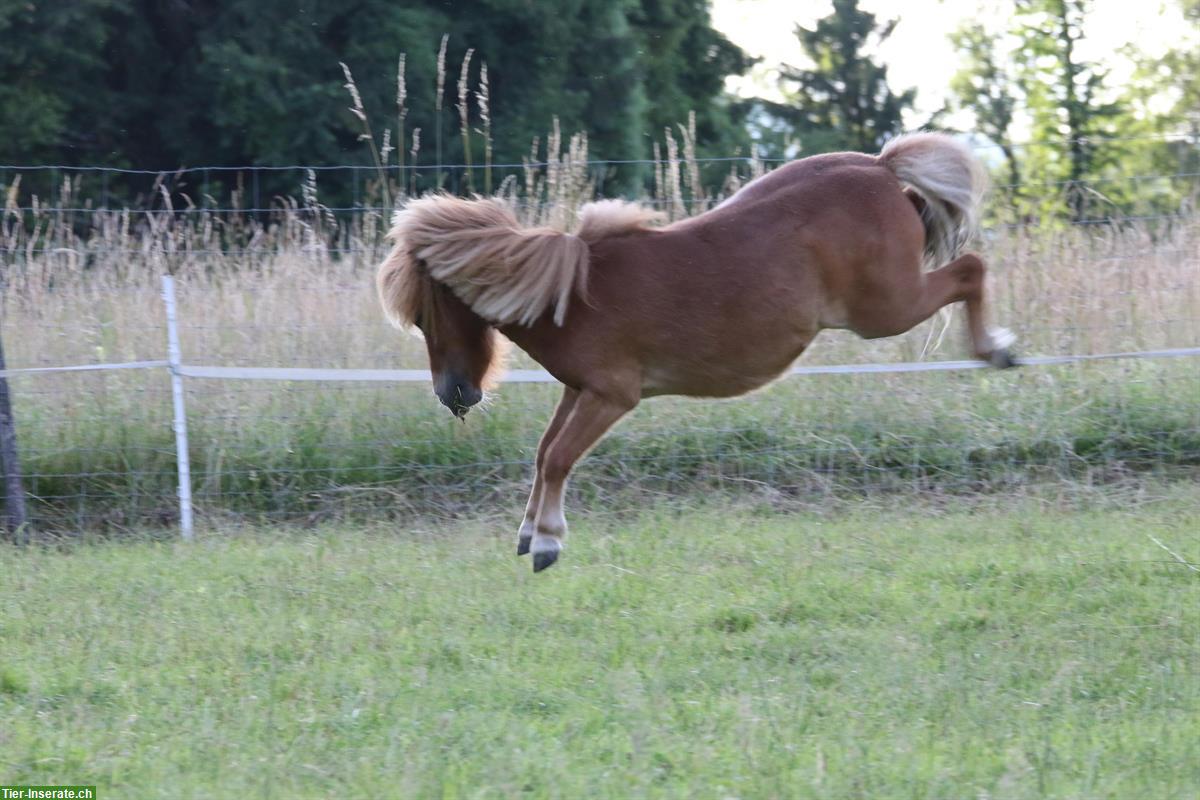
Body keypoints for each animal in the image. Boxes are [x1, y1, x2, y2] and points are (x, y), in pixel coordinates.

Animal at [376, 133, 1012, 568]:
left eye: (424, 314)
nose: (454, 395)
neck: (568, 294)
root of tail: (879, 167)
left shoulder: (611, 396)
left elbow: (557, 458)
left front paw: (548, 543)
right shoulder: (579, 391)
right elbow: (543, 452)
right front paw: (530, 532)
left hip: (884, 309)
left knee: (971, 269)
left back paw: (998, 351)